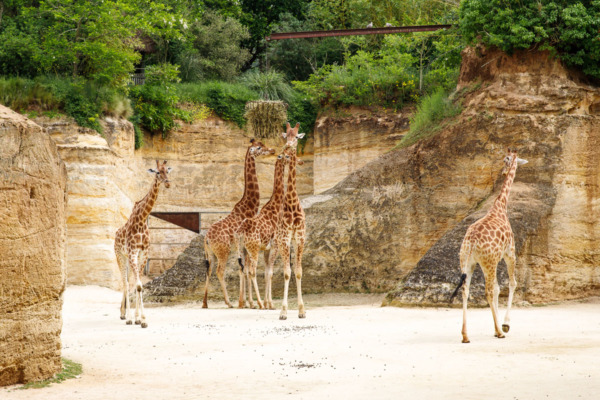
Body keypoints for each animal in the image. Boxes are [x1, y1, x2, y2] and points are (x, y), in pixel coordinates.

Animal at [115, 159, 172, 328]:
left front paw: (141, 319)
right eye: (158, 172)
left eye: (167, 170)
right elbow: (137, 285)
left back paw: (123, 314)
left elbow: (139, 286)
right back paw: (125, 316)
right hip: (120, 255)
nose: (168, 183)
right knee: (125, 283)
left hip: (128, 258)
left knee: (128, 282)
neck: (141, 220)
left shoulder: (144, 252)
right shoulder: (133, 252)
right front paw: (135, 318)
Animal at [203, 139, 276, 308]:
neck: (248, 206)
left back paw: (205, 303)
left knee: (208, 271)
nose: (272, 150)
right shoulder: (246, 246)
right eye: (259, 147)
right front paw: (250, 302)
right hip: (223, 251)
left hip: (211, 254)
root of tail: (206, 238)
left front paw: (246, 302)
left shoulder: (243, 248)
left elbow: (243, 269)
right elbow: (246, 270)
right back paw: (229, 302)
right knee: (220, 271)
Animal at [234, 150, 292, 310]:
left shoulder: (266, 249)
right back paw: (258, 303)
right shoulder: (275, 246)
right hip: (253, 249)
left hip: (243, 249)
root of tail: (241, 231)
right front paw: (269, 304)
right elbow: (270, 273)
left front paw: (268, 303)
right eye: (286, 155)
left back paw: (243, 303)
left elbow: (266, 273)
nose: (296, 160)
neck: (276, 205)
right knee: (252, 271)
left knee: (242, 269)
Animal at [450, 148, 528, 342]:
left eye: (504, 160)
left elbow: (499, 288)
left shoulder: (495, 259)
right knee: (488, 290)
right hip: (488, 262)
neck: (500, 207)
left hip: (467, 261)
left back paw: (465, 335)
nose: (504, 172)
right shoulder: (509, 253)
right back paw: (500, 332)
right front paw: (504, 325)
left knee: (466, 289)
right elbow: (511, 284)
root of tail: (471, 242)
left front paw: (497, 326)